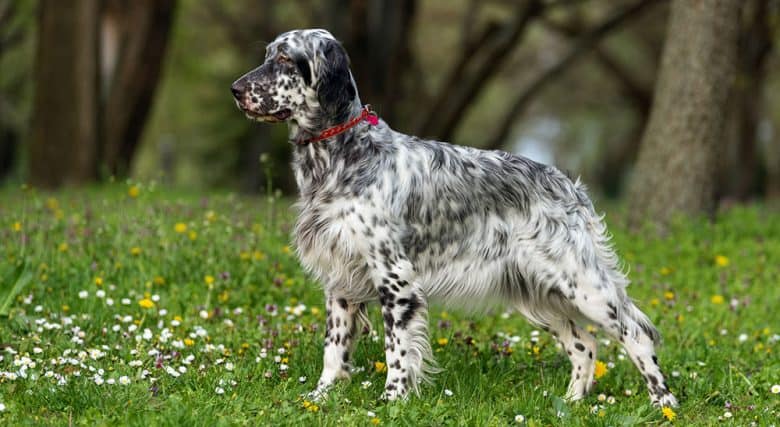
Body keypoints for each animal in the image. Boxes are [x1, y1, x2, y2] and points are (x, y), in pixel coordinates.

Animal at [230, 28, 676, 410]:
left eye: (285, 58)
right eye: (267, 55)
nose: (235, 90)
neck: (344, 156)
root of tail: (568, 183)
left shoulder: (396, 279)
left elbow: (397, 350)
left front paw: (392, 400)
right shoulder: (340, 280)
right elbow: (334, 350)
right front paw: (321, 397)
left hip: (583, 286)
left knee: (636, 334)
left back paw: (664, 403)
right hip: (536, 293)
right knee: (585, 345)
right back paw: (571, 403)